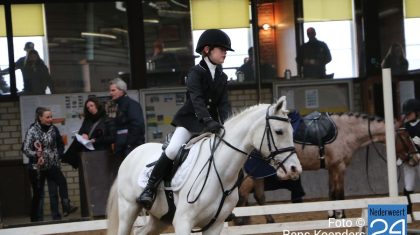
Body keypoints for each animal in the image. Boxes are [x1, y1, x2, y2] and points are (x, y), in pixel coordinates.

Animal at [106, 96, 300, 235]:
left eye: (292, 131)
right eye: (279, 131)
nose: (295, 169)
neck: (220, 173)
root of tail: (132, 153)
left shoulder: (214, 225)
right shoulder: (183, 222)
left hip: (159, 218)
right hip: (128, 210)